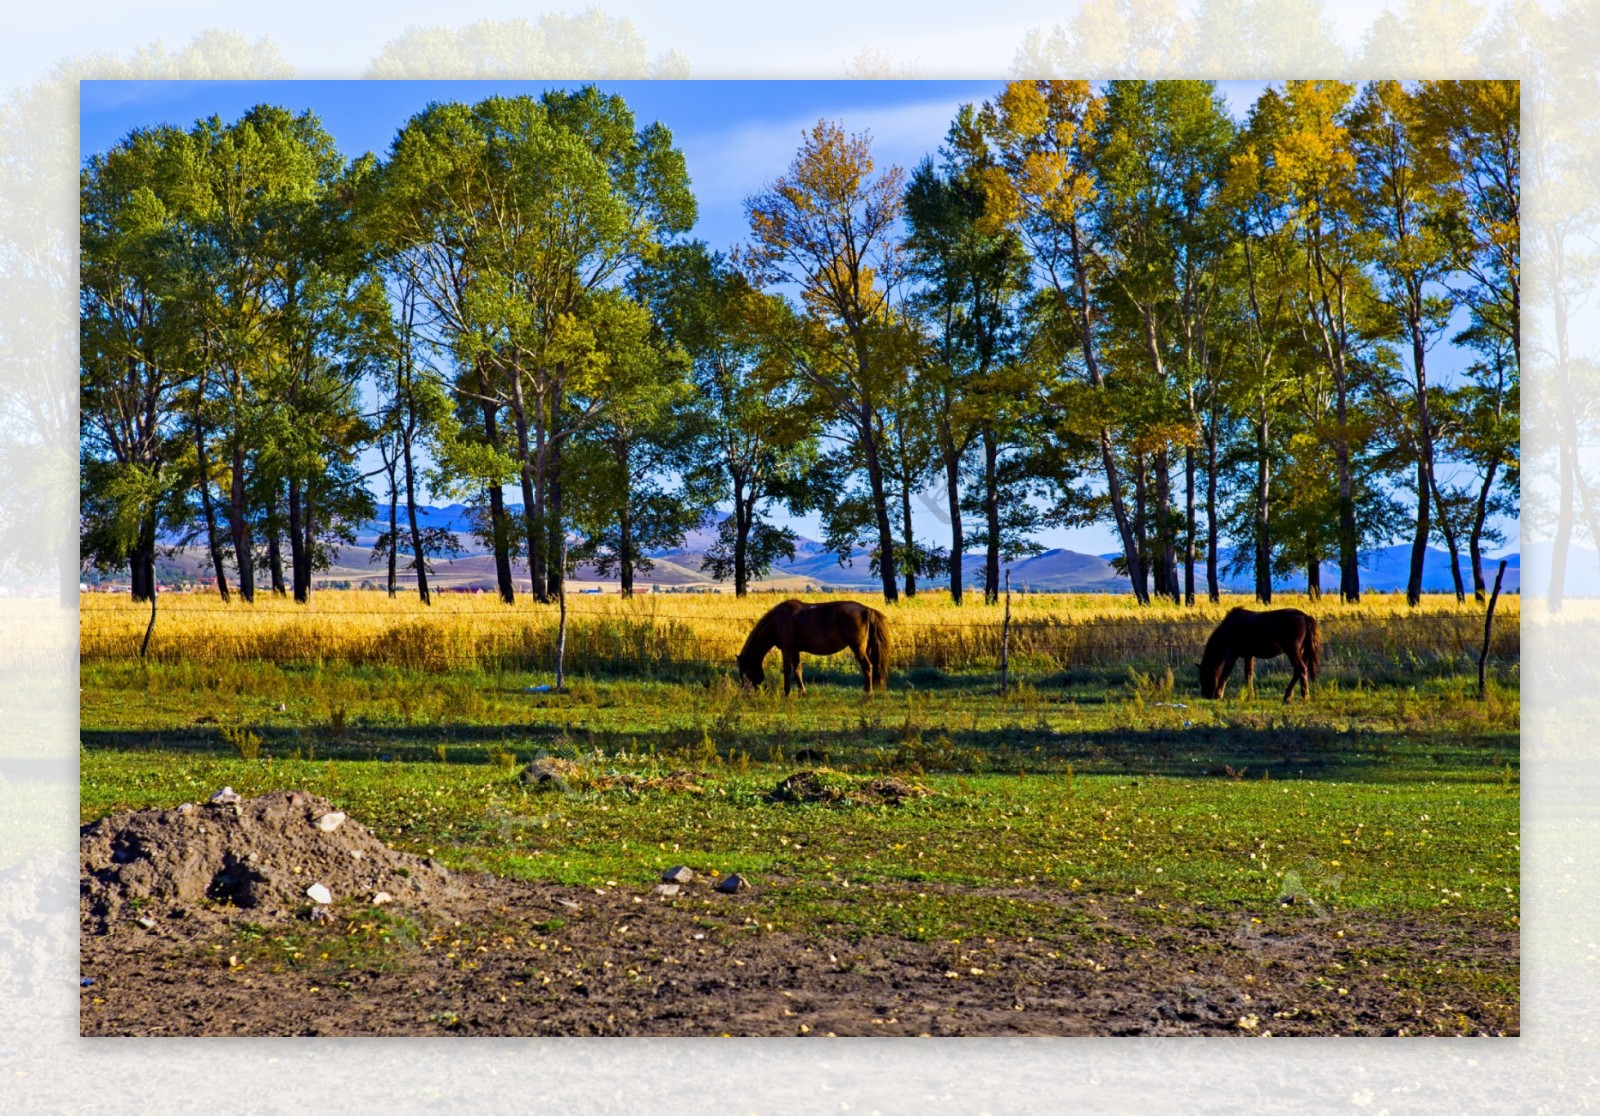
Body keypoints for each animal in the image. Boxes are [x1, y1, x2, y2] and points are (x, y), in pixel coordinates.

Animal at [732, 595, 889, 691]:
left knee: (867, 667)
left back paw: (868, 694)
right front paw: (802, 692)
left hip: (858, 648)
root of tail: (866, 610)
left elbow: (787, 670)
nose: (746, 691)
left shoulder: (787, 648)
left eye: (743, 671)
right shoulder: (795, 650)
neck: (778, 620)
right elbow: (797, 670)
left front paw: (786, 693)